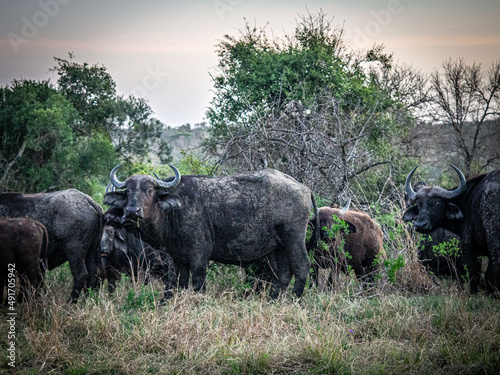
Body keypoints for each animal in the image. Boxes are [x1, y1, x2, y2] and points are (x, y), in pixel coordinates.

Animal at [103, 166, 318, 302]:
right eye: (128, 192)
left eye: (149, 190)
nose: (132, 211)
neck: (173, 211)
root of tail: (303, 187)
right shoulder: (176, 257)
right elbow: (176, 281)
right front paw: (168, 302)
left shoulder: (199, 255)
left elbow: (197, 281)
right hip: (279, 246)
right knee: (284, 273)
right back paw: (274, 300)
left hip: (293, 237)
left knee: (301, 266)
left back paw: (294, 299)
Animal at [402, 165, 500, 294]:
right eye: (418, 205)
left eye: (437, 204)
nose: (420, 225)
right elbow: (488, 276)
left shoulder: (468, 245)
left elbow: (475, 273)